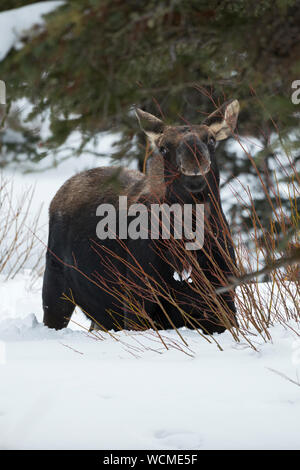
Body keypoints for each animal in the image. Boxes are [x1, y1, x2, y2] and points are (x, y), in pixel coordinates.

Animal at [42, 99, 239, 334]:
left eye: (211, 140)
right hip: (55, 287)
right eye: (164, 147)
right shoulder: (138, 302)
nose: (194, 158)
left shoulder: (224, 301)